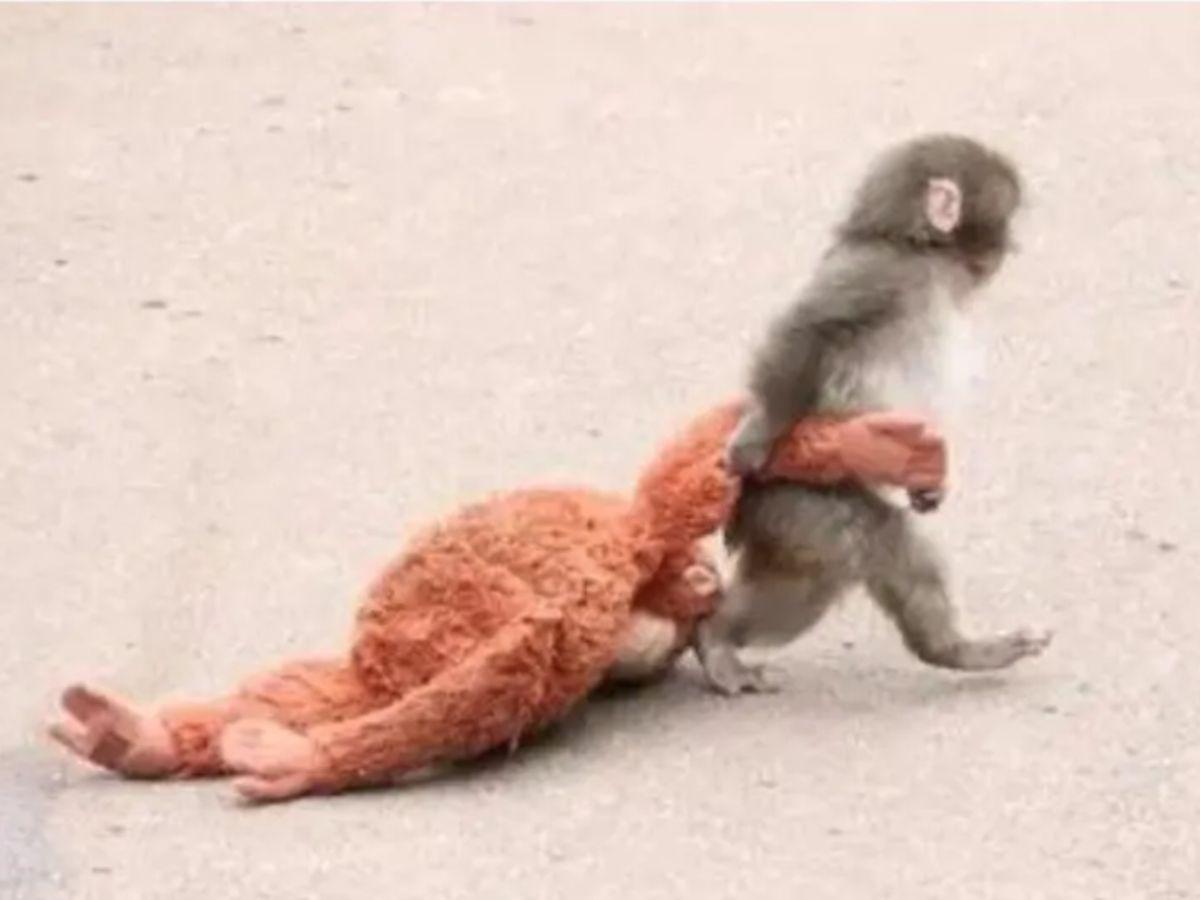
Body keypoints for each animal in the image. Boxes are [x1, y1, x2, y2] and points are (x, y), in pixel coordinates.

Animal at [695, 133, 1051, 695]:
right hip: (799, 499)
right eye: (1006, 220)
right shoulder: (880, 276)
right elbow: (808, 329)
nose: (1009, 250)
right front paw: (755, 435)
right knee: (867, 545)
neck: (917, 251)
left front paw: (928, 487)